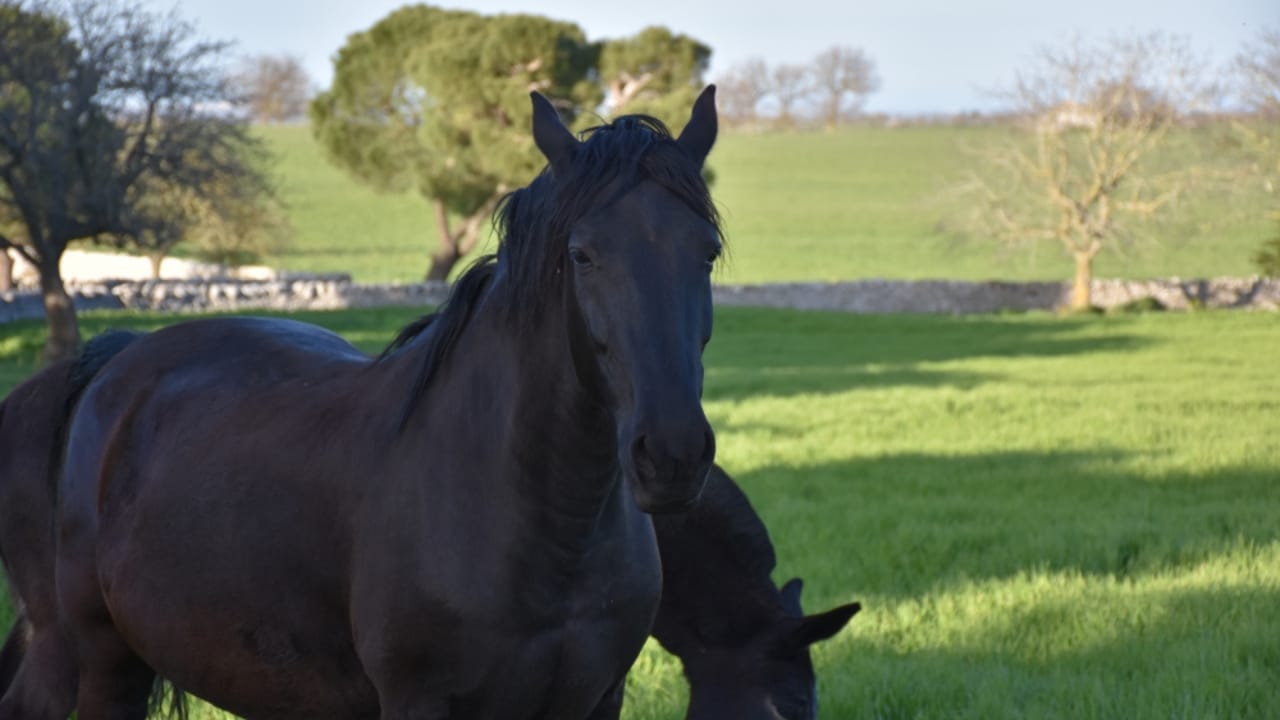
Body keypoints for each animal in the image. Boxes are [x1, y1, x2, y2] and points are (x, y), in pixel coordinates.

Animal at [2, 87, 723, 720]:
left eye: (708, 252)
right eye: (581, 254)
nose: (673, 455)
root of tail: (112, 363)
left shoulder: (597, 700)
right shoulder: (417, 700)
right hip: (97, 661)